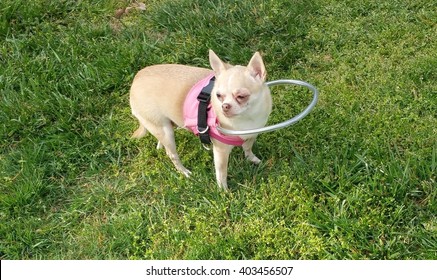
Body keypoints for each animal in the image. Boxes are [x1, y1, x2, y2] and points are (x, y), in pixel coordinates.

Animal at [129, 50, 270, 190]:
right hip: (165, 131)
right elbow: (221, 173)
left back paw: (160, 145)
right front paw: (223, 190)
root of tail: (136, 79)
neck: (247, 118)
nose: (224, 106)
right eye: (218, 96)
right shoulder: (221, 151)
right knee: (172, 154)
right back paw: (184, 172)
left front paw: (252, 159)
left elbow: (248, 147)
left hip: (167, 123)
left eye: (241, 96)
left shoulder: (252, 134)